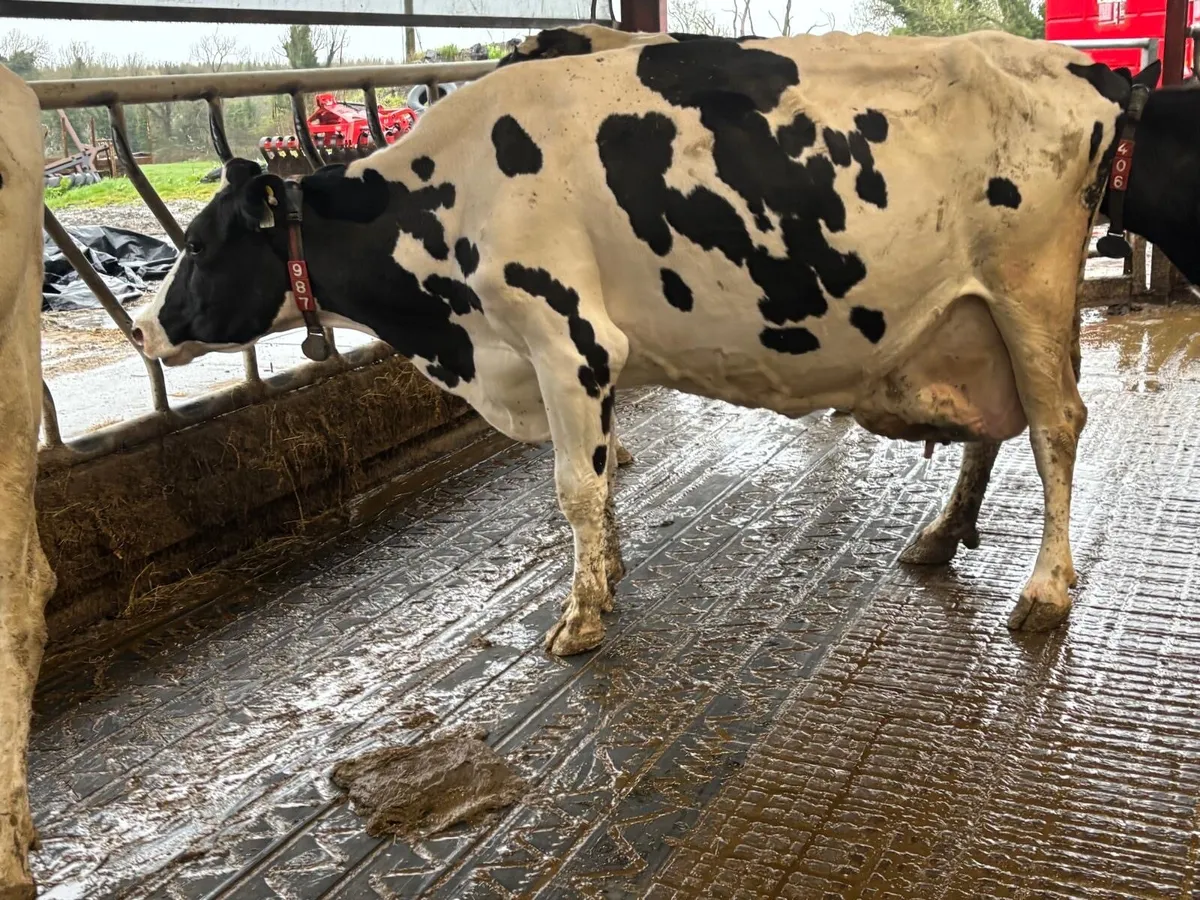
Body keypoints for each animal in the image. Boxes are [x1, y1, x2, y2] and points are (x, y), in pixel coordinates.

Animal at [131, 31, 1178, 661]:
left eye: (199, 242)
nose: (141, 325)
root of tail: (1077, 68)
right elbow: (598, 477)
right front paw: (611, 573)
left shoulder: (566, 336)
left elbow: (574, 485)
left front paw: (581, 615)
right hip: (977, 313)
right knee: (997, 427)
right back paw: (940, 536)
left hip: (1028, 287)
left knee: (1056, 423)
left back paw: (1045, 592)